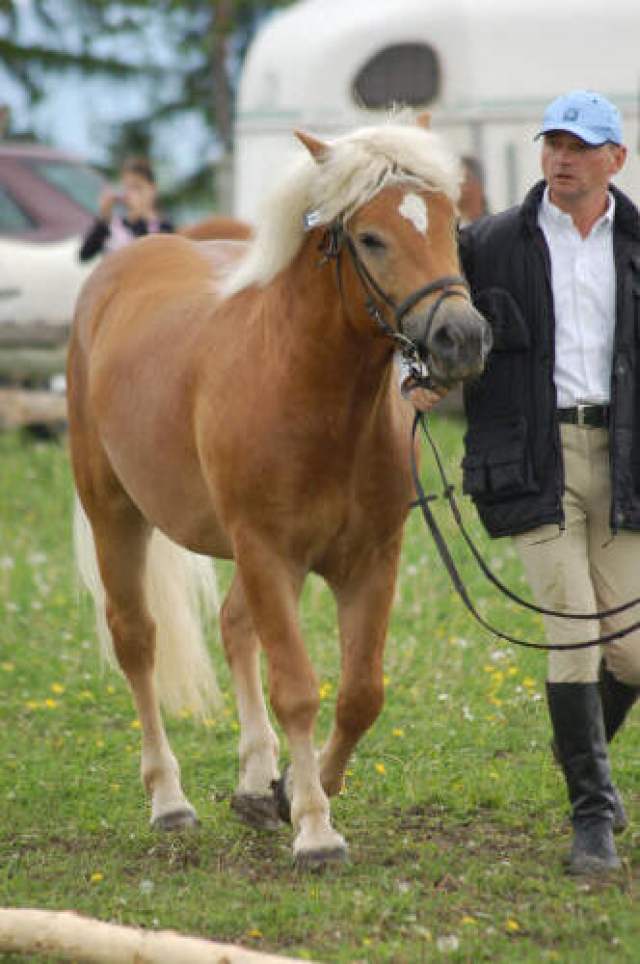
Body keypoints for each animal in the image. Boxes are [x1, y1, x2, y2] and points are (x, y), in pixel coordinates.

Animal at [67, 115, 491, 867]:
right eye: (372, 237)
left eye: (452, 223)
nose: (461, 338)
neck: (304, 388)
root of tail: (115, 273)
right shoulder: (267, 551)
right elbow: (296, 690)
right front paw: (316, 830)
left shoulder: (369, 561)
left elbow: (360, 694)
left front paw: (291, 789)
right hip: (116, 514)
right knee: (137, 641)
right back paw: (169, 800)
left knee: (235, 627)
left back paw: (255, 776)